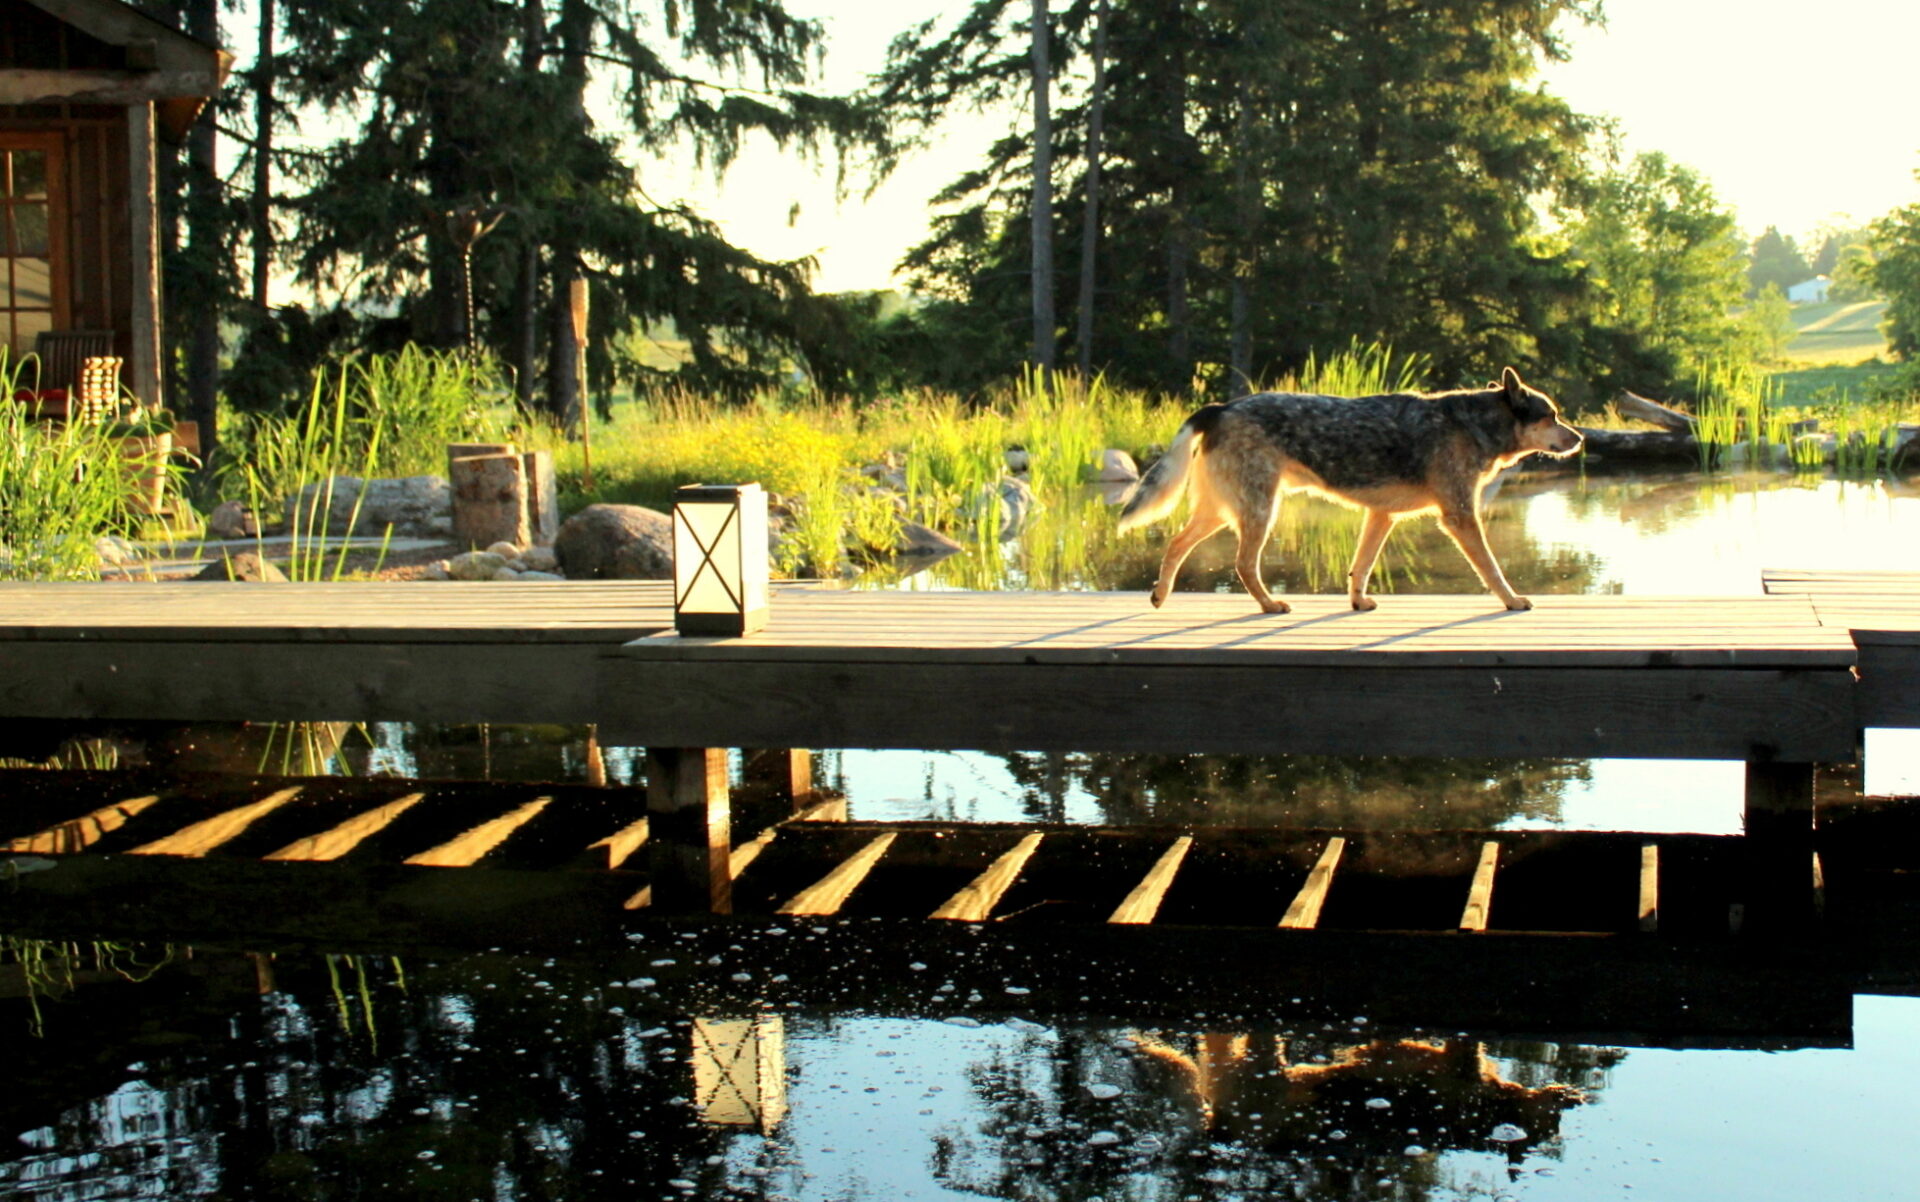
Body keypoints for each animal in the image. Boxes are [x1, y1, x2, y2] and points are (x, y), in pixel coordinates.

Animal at [1121, 362, 1582, 606]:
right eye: (1552, 415)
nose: (1580, 439)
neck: (1472, 423)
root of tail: (1220, 407)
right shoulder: (1460, 516)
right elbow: (1492, 568)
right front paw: (1513, 600)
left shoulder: (1381, 516)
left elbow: (1361, 566)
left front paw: (1358, 602)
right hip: (1258, 510)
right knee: (1243, 564)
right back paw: (1270, 605)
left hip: (1221, 510)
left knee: (1176, 544)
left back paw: (1161, 594)